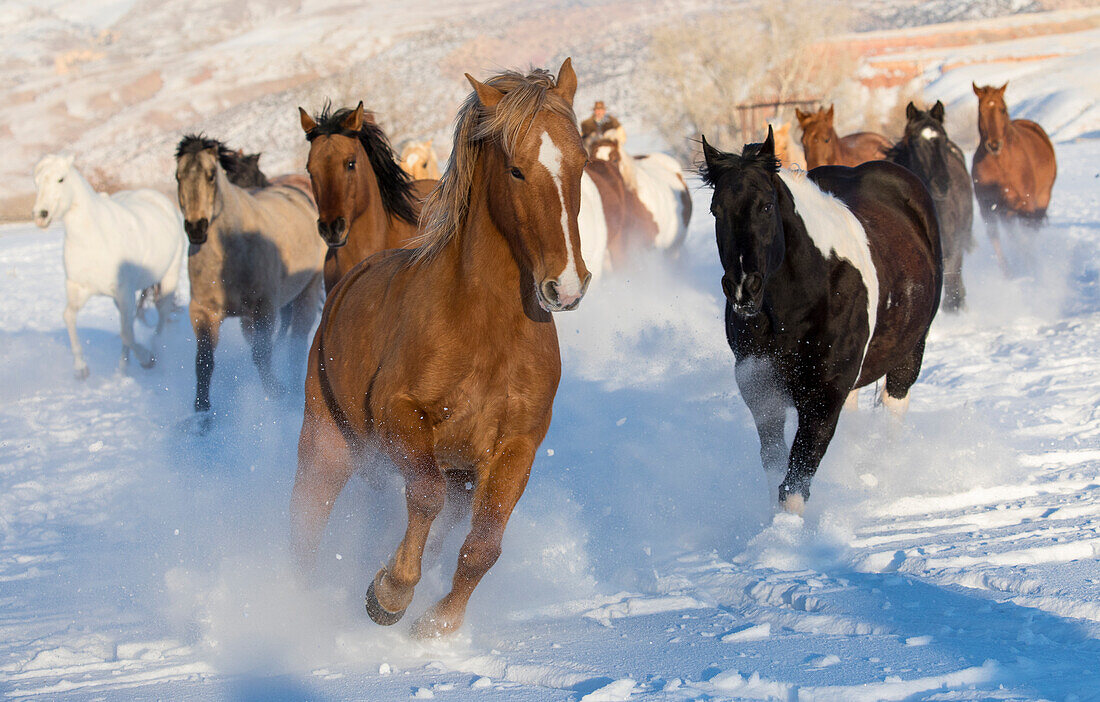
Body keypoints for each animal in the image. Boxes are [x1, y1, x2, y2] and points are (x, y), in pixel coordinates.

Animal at [31, 155, 184, 378]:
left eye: (61, 179)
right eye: (37, 182)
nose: (40, 215)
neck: (94, 236)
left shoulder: (124, 291)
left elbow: (127, 334)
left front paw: (148, 359)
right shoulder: (78, 288)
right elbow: (69, 317)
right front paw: (81, 369)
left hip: (169, 277)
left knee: (161, 316)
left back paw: (158, 351)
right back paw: (123, 369)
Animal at [176, 136, 325, 418]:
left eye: (211, 175)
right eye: (178, 177)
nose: (196, 228)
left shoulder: (263, 308)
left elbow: (261, 353)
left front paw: (276, 391)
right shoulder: (203, 311)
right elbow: (204, 362)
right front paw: (202, 409)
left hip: (307, 292)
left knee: (297, 342)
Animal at [972, 82, 1056, 275]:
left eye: (1002, 110)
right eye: (981, 111)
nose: (994, 145)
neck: (1001, 164)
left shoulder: (1026, 204)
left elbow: (1026, 237)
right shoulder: (987, 206)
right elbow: (996, 237)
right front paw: (1008, 272)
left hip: (1041, 200)